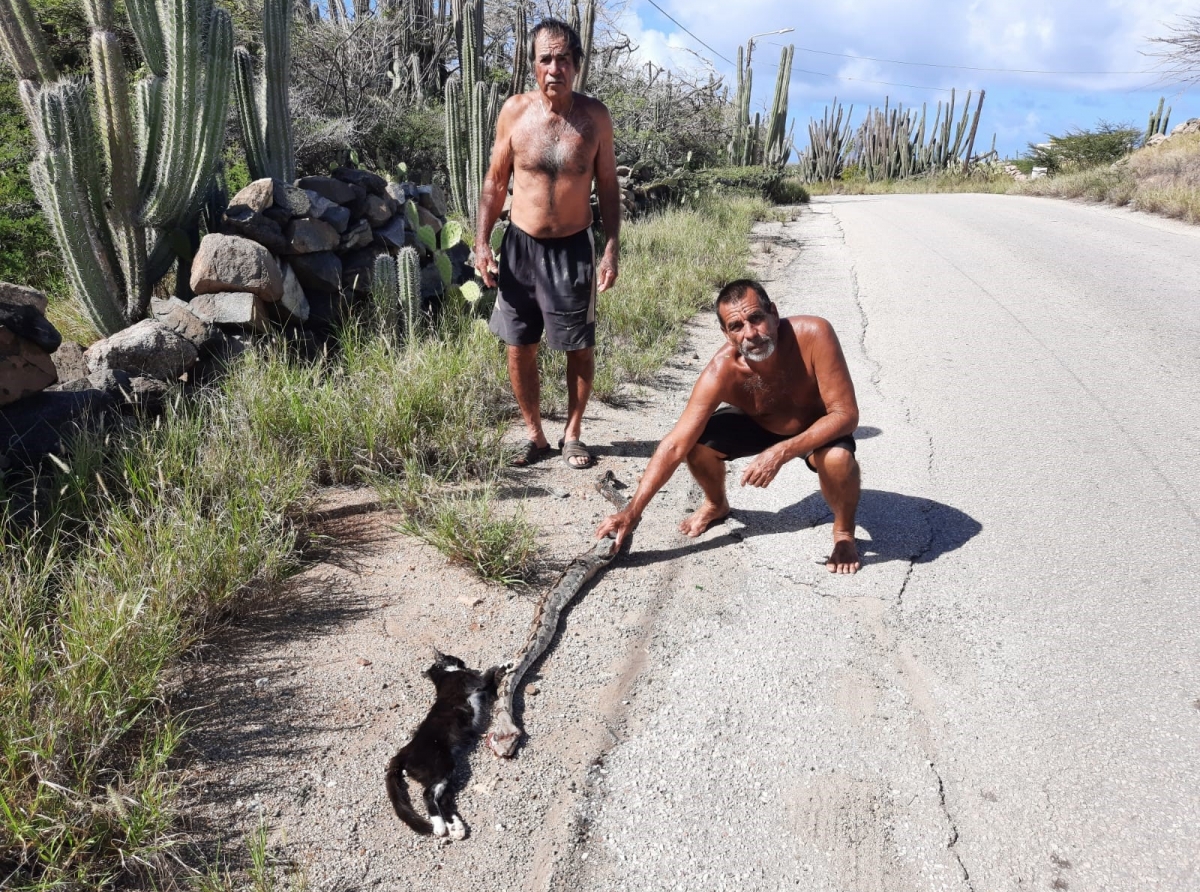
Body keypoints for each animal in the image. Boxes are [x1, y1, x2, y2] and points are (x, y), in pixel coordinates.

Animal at [381, 653, 499, 840]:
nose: (463, 662)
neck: (443, 675)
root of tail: (403, 752)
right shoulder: (473, 681)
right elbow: (487, 674)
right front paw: (504, 664)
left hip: (445, 773)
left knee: (442, 798)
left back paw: (456, 828)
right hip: (442, 766)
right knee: (428, 795)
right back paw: (440, 827)